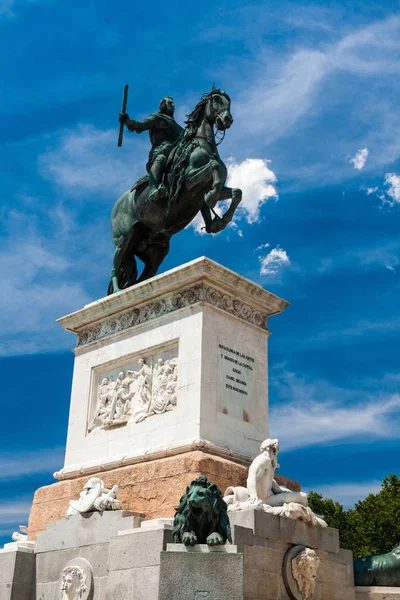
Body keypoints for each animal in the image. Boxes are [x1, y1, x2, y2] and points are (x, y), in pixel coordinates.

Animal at [108, 88, 242, 294]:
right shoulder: (188, 182)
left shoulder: (205, 190)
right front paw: (211, 200)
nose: (227, 119)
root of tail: (117, 205)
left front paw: (219, 221)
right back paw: (117, 292)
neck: (203, 145)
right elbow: (213, 169)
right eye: (215, 100)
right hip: (123, 239)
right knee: (116, 265)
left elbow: (236, 192)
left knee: (142, 278)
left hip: (156, 251)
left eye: (228, 102)